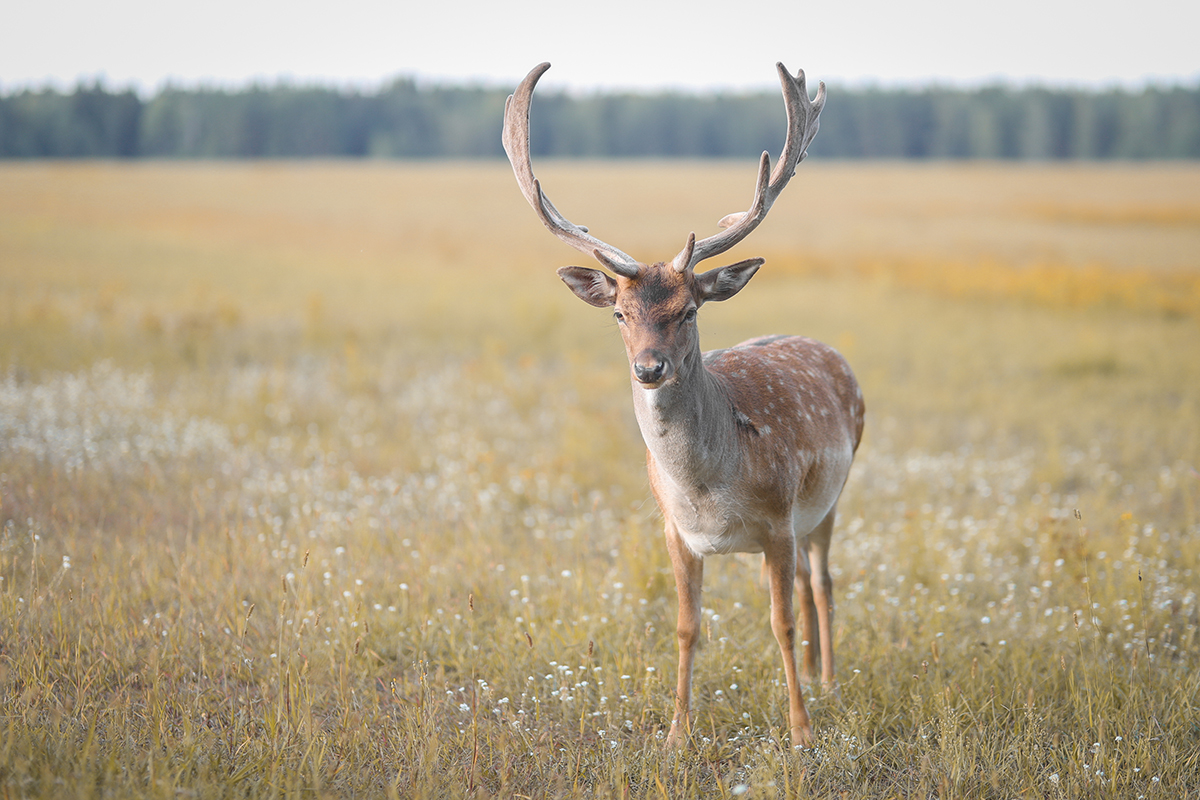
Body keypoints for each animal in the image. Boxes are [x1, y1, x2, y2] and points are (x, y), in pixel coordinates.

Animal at [499, 59, 864, 748]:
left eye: (688, 309)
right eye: (619, 313)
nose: (649, 368)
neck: (706, 489)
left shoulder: (779, 520)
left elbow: (780, 623)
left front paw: (801, 733)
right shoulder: (675, 530)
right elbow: (687, 626)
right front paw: (675, 733)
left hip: (828, 498)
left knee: (824, 583)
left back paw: (828, 682)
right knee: (808, 584)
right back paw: (814, 676)